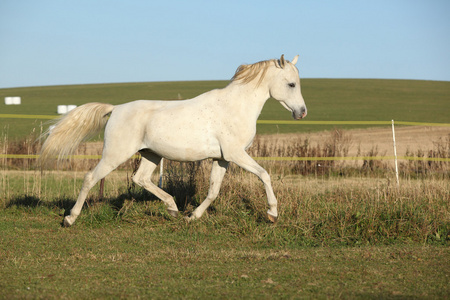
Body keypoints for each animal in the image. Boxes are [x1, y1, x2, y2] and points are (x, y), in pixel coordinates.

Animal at [40, 55, 308, 226]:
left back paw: (173, 209)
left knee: (141, 179)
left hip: (150, 154)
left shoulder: (223, 159)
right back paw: (70, 218)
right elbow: (264, 175)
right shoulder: (236, 154)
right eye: (291, 84)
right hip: (115, 154)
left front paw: (193, 217)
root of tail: (115, 109)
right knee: (90, 178)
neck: (235, 106)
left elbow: (213, 191)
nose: (302, 112)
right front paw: (272, 214)